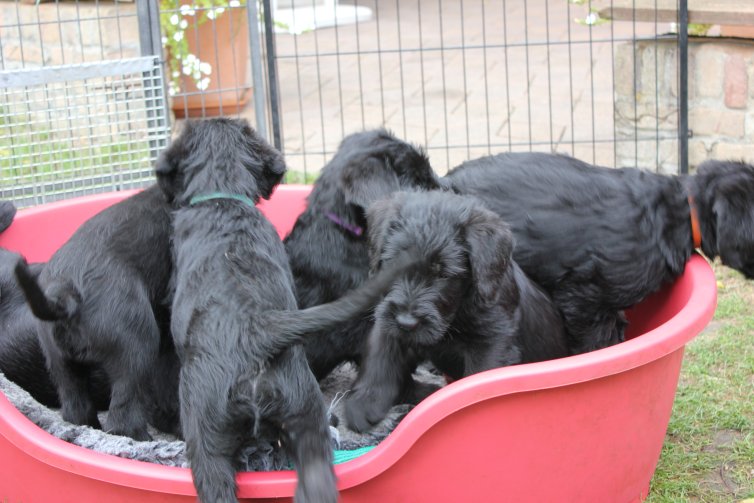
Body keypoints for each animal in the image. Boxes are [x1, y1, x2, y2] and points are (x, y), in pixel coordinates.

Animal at [344, 191, 568, 436]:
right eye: (393, 265)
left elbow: (478, 381)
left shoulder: (492, 341)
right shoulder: (387, 315)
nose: (406, 322)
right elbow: (382, 352)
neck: (456, 313)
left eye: (443, 274)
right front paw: (365, 401)